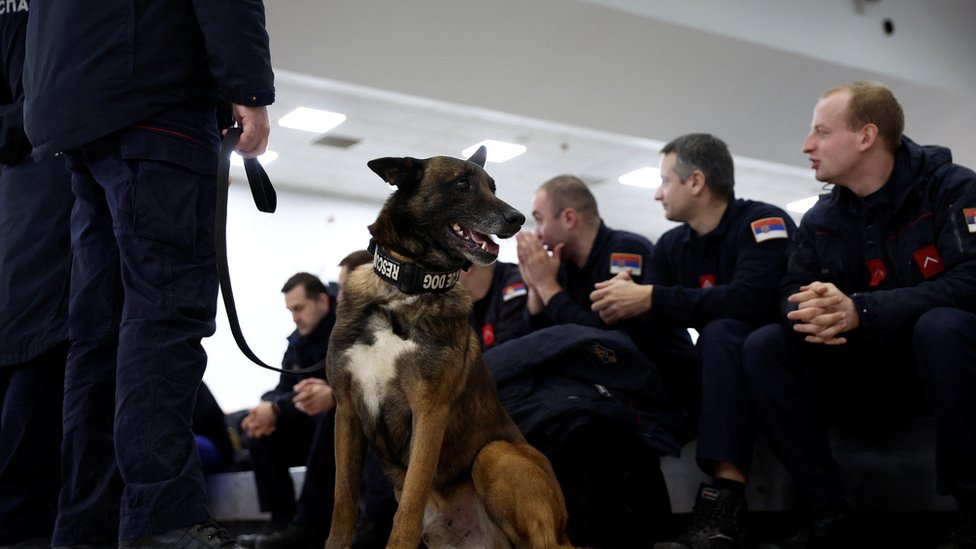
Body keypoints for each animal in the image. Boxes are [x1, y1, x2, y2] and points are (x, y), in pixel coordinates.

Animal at [328, 147, 572, 548]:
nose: (518, 218)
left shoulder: (429, 411)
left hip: (495, 455)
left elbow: (407, 511)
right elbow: (343, 507)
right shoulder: (347, 411)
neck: (407, 288)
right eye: (461, 185)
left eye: (492, 187)